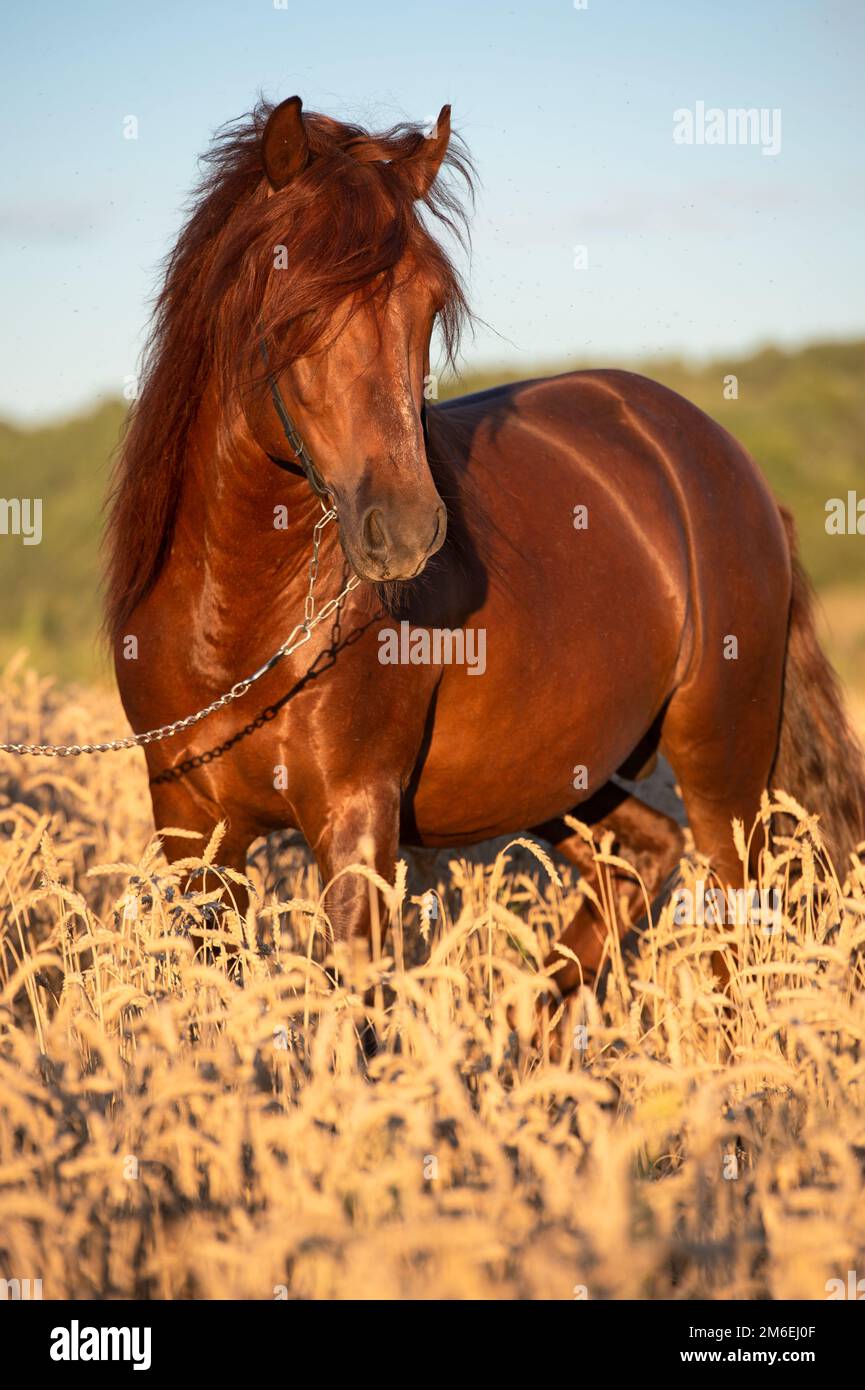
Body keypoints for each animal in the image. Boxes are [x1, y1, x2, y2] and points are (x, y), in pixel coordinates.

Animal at [108, 95, 865, 989]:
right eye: (295, 298)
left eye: (429, 306)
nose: (405, 531)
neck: (234, 620)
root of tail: (721, 461)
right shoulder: (194, 833)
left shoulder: (355, 816)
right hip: (566, 778)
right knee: (636, 863)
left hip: (721, 766)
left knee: (726, 926)